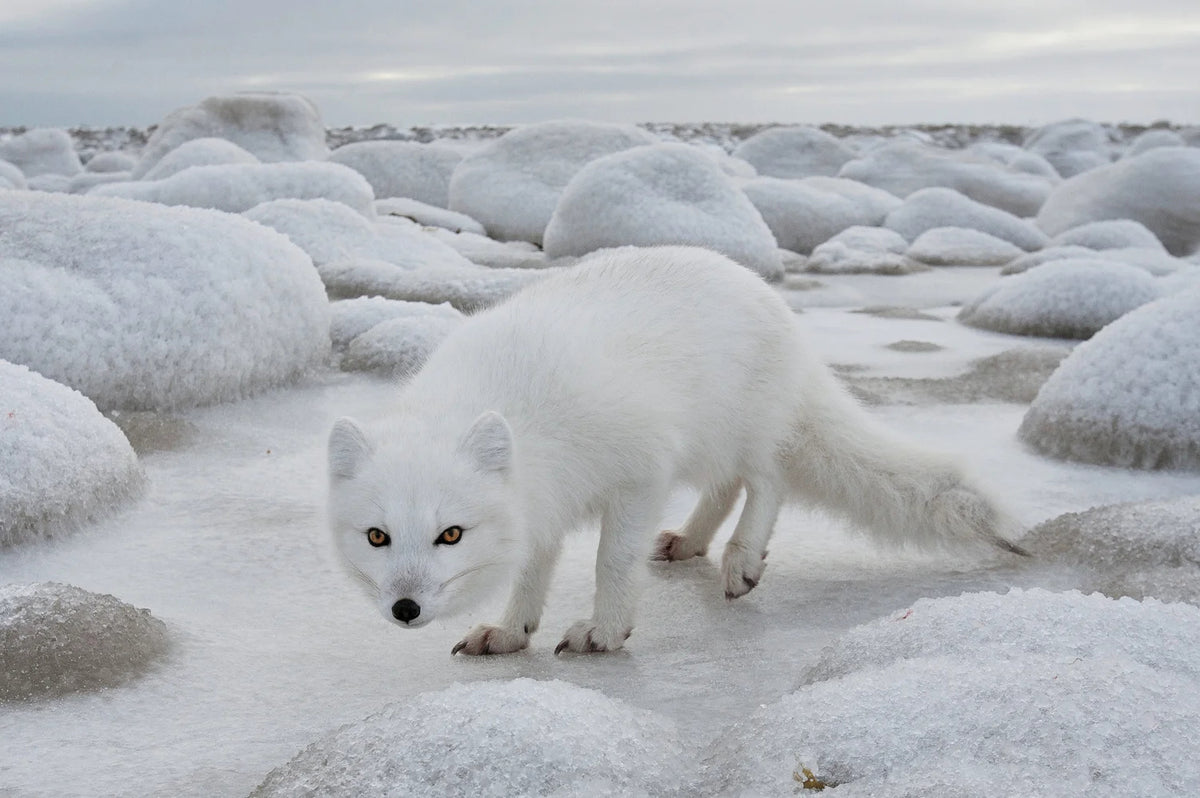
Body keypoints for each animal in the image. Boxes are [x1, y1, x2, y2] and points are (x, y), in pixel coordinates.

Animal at [328, 247, 1022, 652]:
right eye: (377, 537)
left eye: (450, 534)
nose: (405, 609)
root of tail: (772, 300)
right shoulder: (544, 499)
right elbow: (531, 568)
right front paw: (510, 630)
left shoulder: (640, 471)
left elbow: (611, 561)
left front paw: (605, 632)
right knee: (728, 483)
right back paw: (691, 541)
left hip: (734, 427)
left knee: (768, 478)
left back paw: (741, 559)